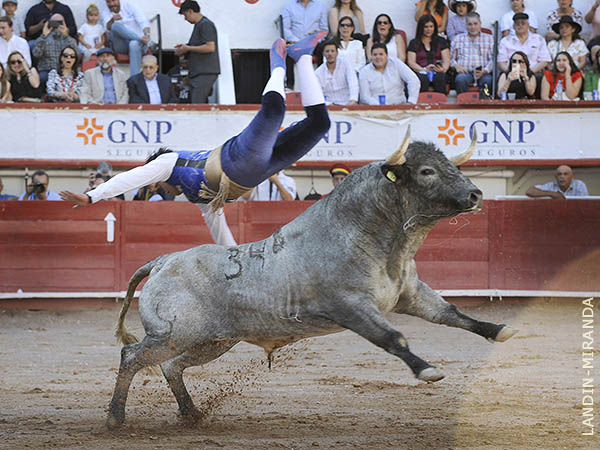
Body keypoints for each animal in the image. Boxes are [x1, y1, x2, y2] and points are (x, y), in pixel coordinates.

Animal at [106, 128, 516, 428]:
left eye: (449, 164)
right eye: (427, 171)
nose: (475, 194)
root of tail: (162, 260)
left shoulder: (409, 294)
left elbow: (452, 314)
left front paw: (499, 330)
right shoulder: (352, 307)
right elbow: (392, 337)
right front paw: (427, 370)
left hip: (211, 341)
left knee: (170, 366)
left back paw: (191, 414)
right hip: (175, 334)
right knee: (133, 355)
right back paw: (115, 418)